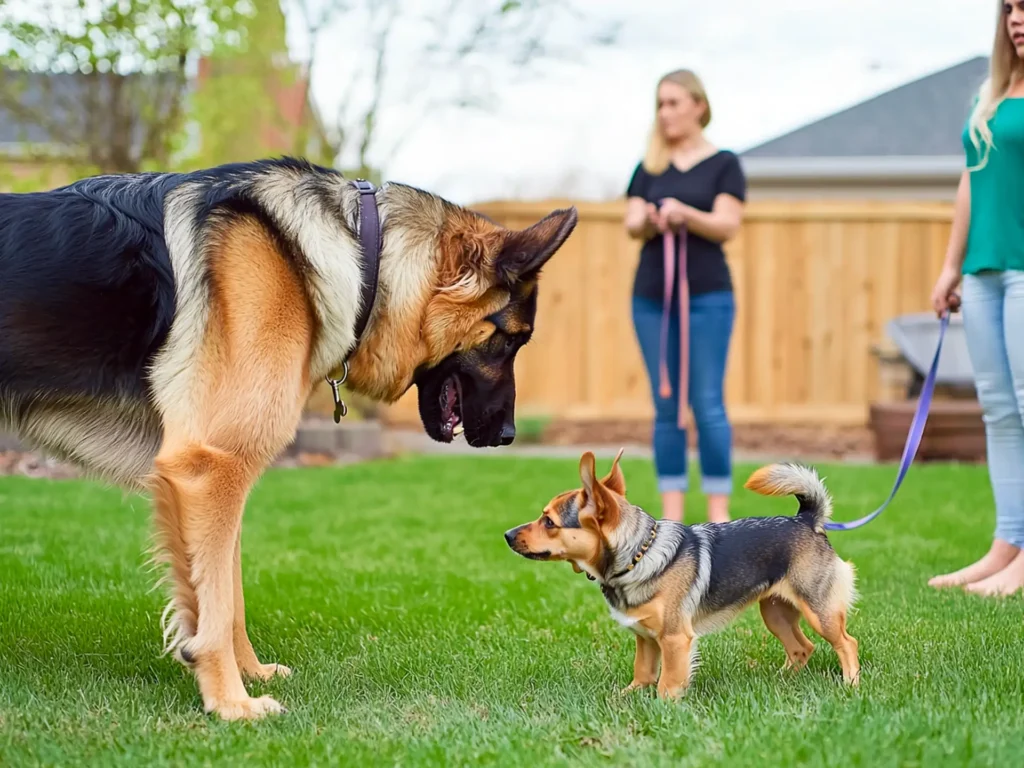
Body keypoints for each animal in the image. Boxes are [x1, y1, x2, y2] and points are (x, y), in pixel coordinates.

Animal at [0, 156, 577, 720]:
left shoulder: (215, 483)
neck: (362, 252)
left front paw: (247, 674)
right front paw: (232, 703)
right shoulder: (212, 469)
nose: (509, 435)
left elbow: (226, 597)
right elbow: (216, 606)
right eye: (511, 340)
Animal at [507, 450, 860, 696]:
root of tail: (806, 520)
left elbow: (667, 683)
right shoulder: (646, 640)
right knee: (803, 648)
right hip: (775, 612)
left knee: (847, 642)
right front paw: (625, 698)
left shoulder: (675, 639)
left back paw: (851, 685)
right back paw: (781, 680)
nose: (507, 535)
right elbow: (642, 675)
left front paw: (664, 709)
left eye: (549, 522)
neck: (638, 555)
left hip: (819, 611)